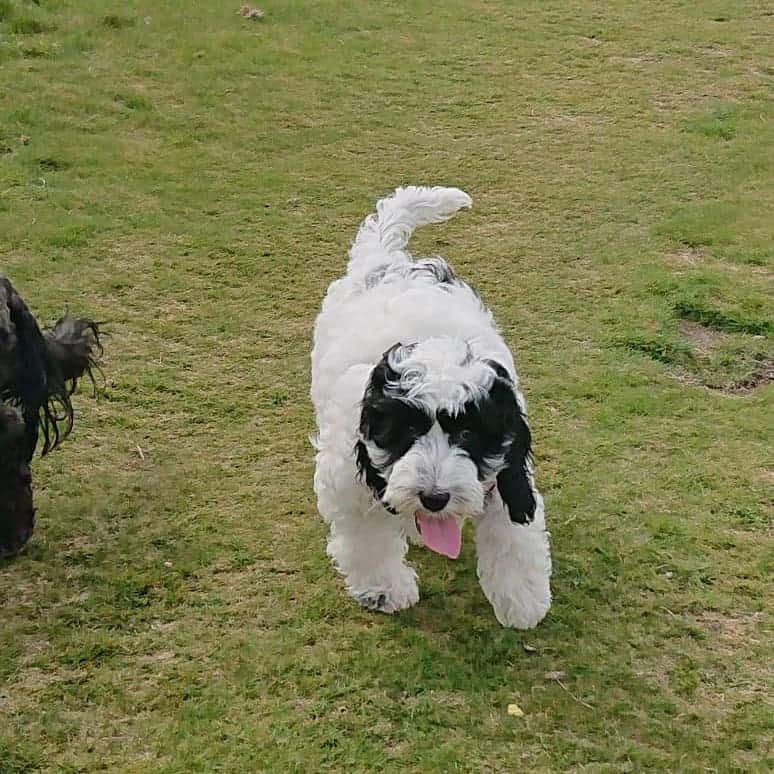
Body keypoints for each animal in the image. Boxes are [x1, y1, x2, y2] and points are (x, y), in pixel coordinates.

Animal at [310, 188, 552, 632]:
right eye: (405, 432)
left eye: (470, 434)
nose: (435, 497)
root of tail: (387, 260)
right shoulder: (347, 474)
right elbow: (366, 533)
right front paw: (384, 589)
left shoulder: (503, 467)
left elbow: (512, 527)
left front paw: (521, 597)